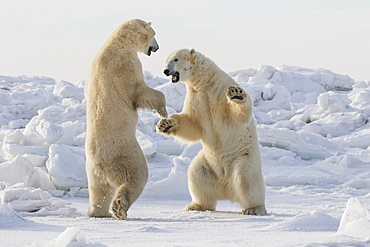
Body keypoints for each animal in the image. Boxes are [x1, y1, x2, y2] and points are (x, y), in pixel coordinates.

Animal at [84, 19, 167, 220]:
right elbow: (140, 92)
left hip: (92, 173)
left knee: (99, 192)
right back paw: (119, 209)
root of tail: (101, 167)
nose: (157, 47)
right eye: (154, 34)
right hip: (127, 157)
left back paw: (99, 213)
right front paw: (163, 111)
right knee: (136, 178)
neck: (118, 44)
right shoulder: (126, 66)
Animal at [156, 48, 266, 214]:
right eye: (166, 60)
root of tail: (226, 187)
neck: (206, 81)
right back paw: (196, 205)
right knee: (196, 175)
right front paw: (165, 124)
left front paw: (237, 94)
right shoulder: (196, 96)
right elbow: (192, 123)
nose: (165, 71)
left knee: (246, 179)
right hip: (207, 164)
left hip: (243, 158)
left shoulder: (220, 90)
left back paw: (253, 208)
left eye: (175, 59)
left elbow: (237, 116)